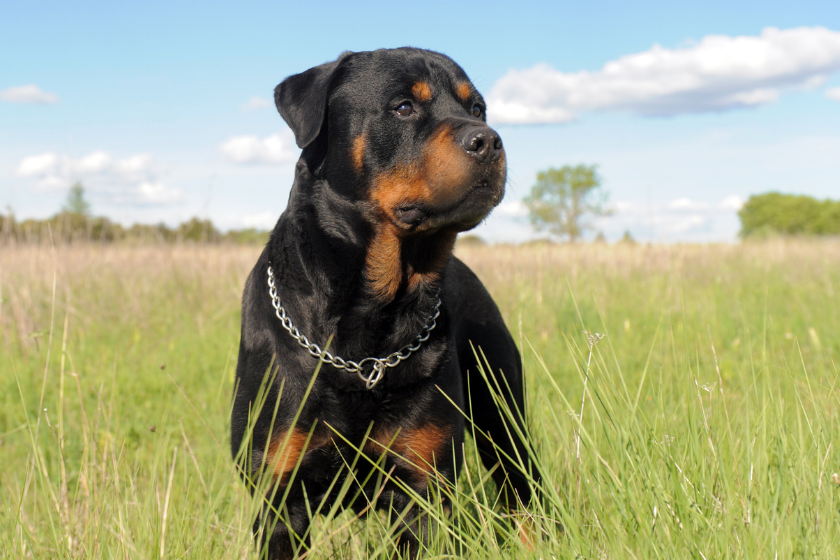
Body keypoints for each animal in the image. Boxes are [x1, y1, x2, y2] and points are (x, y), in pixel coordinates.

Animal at [230, 48, 536, 560]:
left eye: (477, 110)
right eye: (403, 108)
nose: (489, 140)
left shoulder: (420, 487)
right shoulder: (279, 497)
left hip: (504, 413)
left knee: (524, 494)